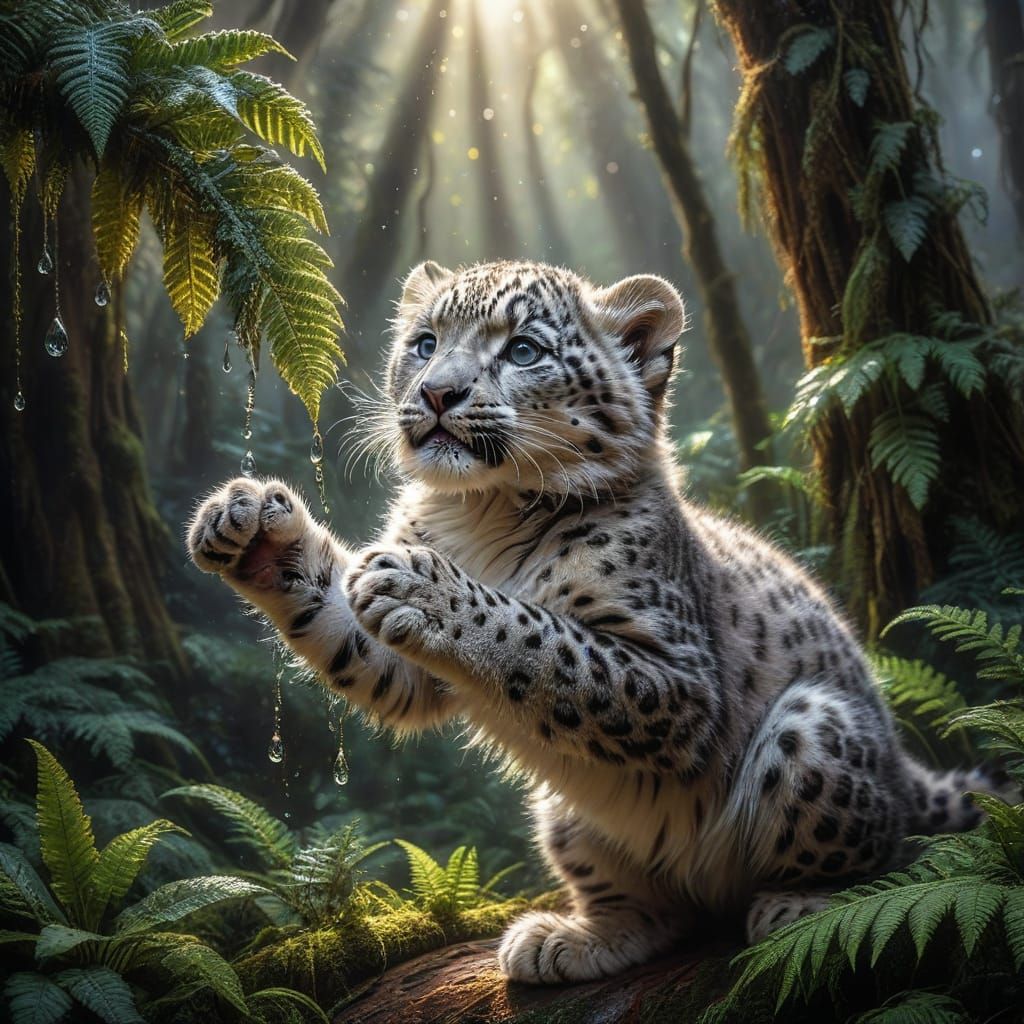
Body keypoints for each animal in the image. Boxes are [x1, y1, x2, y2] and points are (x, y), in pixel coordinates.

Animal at [186, 259, 998, 984]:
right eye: (424, 341)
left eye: (522, 350)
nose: (437, 391)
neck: (480, 511)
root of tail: (902, 764)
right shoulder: (410, 672)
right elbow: (349, 626)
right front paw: (251, 524)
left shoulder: (674, 677)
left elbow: (540, 636)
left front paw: (430, 588)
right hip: (565, 813)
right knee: (659, 910)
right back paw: (571, 941)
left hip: (813, 726)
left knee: (873, 849)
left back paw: (804, 908)